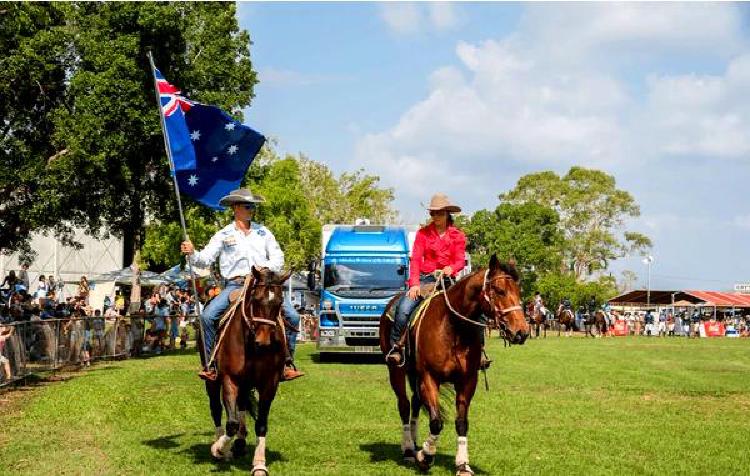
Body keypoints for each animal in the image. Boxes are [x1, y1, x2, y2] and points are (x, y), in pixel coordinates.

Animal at [207, 268, 292, 476]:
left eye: (280, 302)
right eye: (256, 299)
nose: (263, 341)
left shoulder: (270, 383)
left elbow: (260, 423)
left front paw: (260, 464)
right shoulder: (229, 379)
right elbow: (231, 422)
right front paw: (219, 449)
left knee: (243, 405)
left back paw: (240, 442)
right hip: (211, 380)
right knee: (216, 408)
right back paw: (222, 444)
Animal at [378, 256, 532, 476]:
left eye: (519, 292)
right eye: (499, 290)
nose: (521, 332)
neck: (452, 328)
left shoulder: (467, 381)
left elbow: (461, 423)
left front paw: (462, 464)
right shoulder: (429, 378)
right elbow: (436, 422)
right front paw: (425, 457)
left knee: (415, 403)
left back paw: (414, 443)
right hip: (397, 371)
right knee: (405, 405)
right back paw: (408, 449)